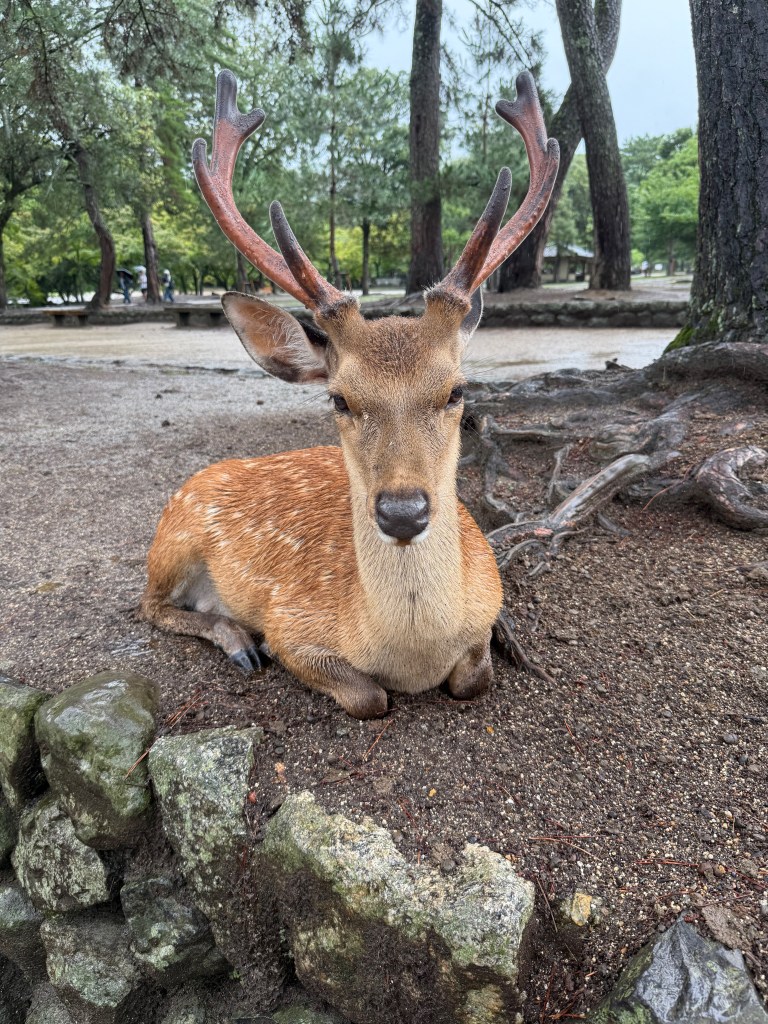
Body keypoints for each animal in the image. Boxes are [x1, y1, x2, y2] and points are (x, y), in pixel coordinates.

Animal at [139, 69, 559, 719]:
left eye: (457, 390)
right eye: (338, 398)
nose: (402, 511)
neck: (412, 655)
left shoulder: (490, 599)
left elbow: (476, 677)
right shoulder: (294, 624)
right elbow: (368, 696)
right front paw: (263, 642)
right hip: (172, 538)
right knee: (149, 605)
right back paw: (238, 640)